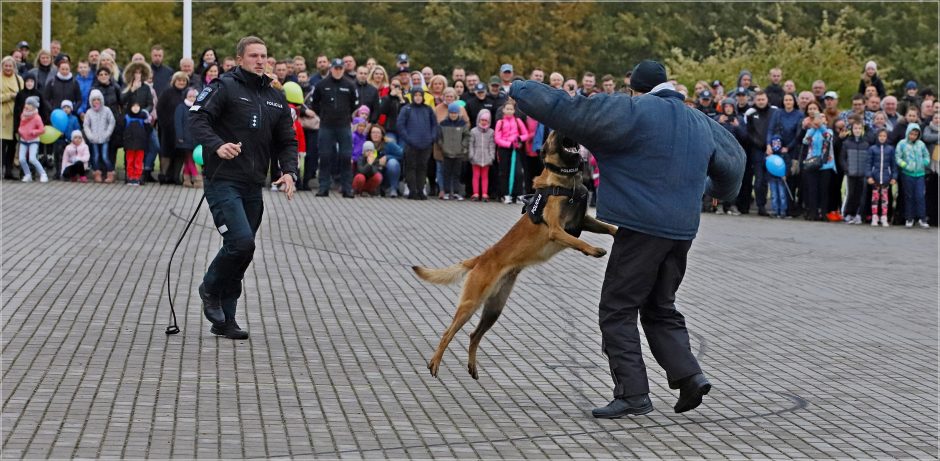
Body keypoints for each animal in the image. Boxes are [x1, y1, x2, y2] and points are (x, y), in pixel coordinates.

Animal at [412, 131, 616, 380]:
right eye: (553, 135)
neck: (565, 180)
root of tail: (481, 258)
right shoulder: (556, 230)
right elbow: (578, 241)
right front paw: (594, 250)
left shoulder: (583, 220)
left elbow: (608, 227)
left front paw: (619, 232)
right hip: (471, 304)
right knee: (447, 333)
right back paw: (435, 362)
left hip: (494, 310)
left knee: (474, 335)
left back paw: (472, 366)